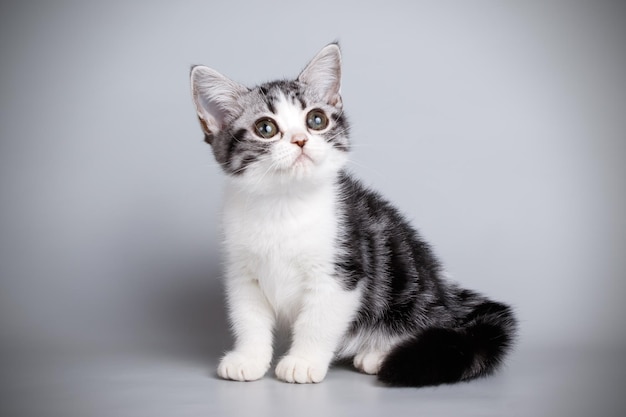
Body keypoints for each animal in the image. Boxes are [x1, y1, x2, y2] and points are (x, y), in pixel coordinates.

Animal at [188, 44, 516, 386]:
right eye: (265, 128)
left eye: (316, 119)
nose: (300, 140)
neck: (284, 205)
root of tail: (448, 293)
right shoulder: (242, 272)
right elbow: (248, 317)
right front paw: (249, 358)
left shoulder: (342, 268)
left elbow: (317, 321)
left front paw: (302, 361)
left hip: (409, 287)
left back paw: (378, 354)